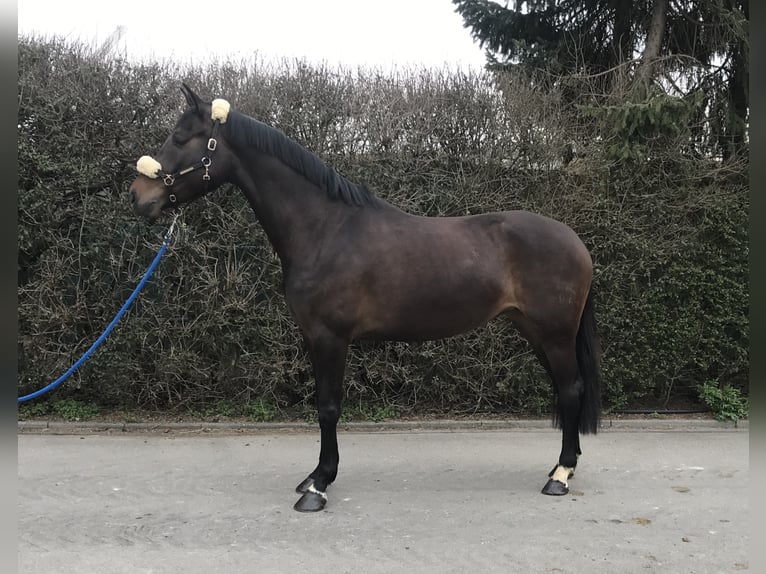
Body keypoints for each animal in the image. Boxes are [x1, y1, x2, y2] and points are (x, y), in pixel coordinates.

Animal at [129, 83, 601, 512]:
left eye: (180, 138)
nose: (138, 197)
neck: (325, 229)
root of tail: (574, 240)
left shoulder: (330, 338)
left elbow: (328, 407)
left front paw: (319, 486)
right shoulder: (313, 337)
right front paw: (313, 478)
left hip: (555, 333)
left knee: (570, 389)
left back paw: (560, 476)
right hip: (534, 330)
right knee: (566, 389)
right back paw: (565, 467)